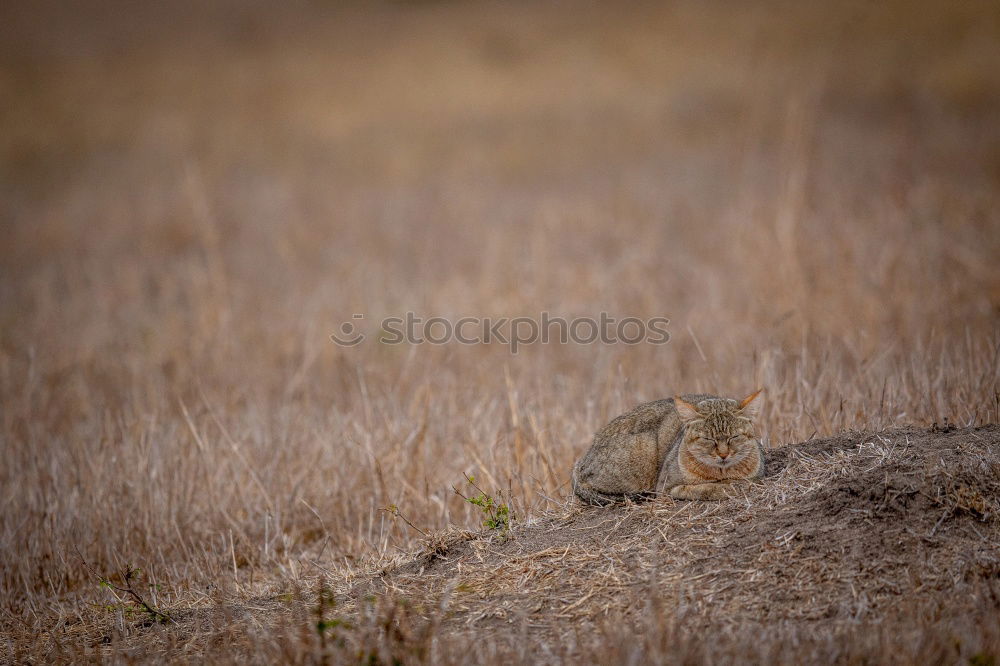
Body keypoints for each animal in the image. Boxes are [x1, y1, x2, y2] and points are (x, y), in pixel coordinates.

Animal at [576, 386, 760, 500]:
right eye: (708, 439)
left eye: (734, 437)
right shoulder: (666, 487)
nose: (723, 454)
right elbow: (702, 488)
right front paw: (725, 487)